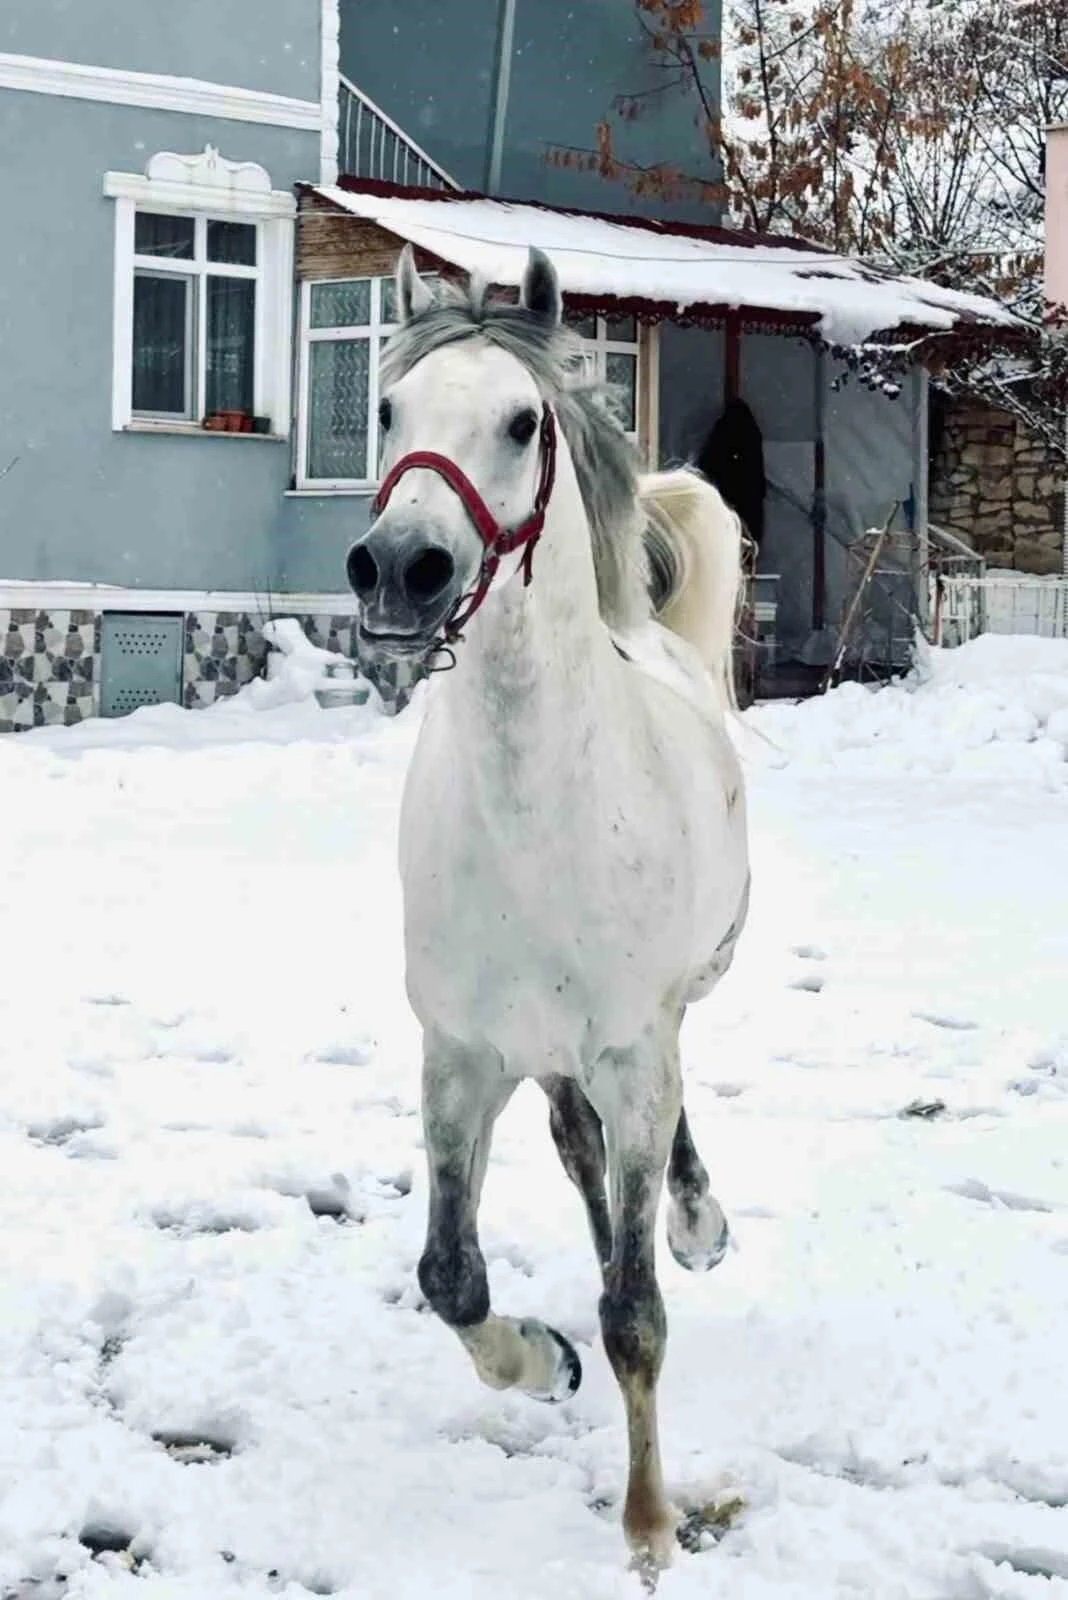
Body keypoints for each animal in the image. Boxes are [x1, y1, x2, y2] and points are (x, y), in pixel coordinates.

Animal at [346, 249, 748, 1574]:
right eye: (386, 409)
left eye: (524, 421)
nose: (401, 569)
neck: (537, 814)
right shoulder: (461, 1058)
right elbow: (450, 1277)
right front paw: (542, 1360)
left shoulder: (632, 1049)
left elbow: (636, 1313)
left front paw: (650, 1526)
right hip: (554, 1059)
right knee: (579, 1158)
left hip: (662, 1023)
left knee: (651, 1152)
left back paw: (697, 1220)